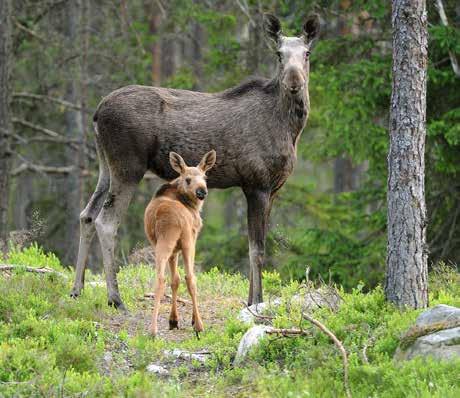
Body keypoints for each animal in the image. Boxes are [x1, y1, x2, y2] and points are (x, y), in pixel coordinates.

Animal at [70, 14, 320, 310]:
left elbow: (254, 246)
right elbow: (256, 249)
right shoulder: (256, 184)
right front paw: (257, 303)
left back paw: (77, 289)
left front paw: (250, 302)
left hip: (105, 166)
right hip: (128, 167)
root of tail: (97, 113)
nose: (294, 82)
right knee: (106, 222)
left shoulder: (273, 189)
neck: (291, 130)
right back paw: (115, 298)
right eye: (279, 55)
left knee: (86, 215)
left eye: (306, 53)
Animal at [144, 149, 216, 336]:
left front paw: (173, 320)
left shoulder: (174, 251)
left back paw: (153, 329)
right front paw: (190, 320)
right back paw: (199, 325)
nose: (202, 192)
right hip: (187, 242)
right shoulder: (192, 239)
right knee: (191, 278)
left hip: (163, 245)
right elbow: (183, 279)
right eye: (188, 179)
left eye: (205, 177)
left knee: (160, 278)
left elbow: (174, 280)